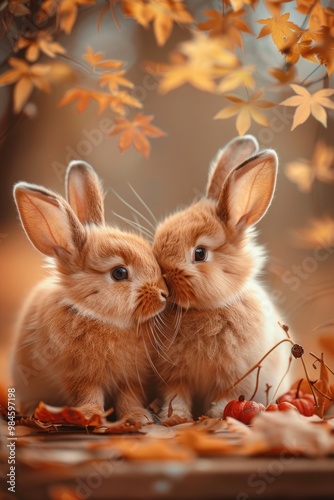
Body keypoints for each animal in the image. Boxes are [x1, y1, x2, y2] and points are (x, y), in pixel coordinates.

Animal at [11, 161, 168, 422]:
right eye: (119, 273)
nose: (164, 294)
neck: (102, 319)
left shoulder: (131, 379)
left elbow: (129, 397)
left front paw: (138, 417)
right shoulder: (79, 377)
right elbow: (88, 395)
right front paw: (89, 416)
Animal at [151, 135, 292, 424]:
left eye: (200, 253)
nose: (162, 277)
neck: (206, 310)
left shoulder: (236, 377)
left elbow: (227, 397)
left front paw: (217, 417)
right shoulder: (174, 377)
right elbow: (175, 397)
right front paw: (175, 418)